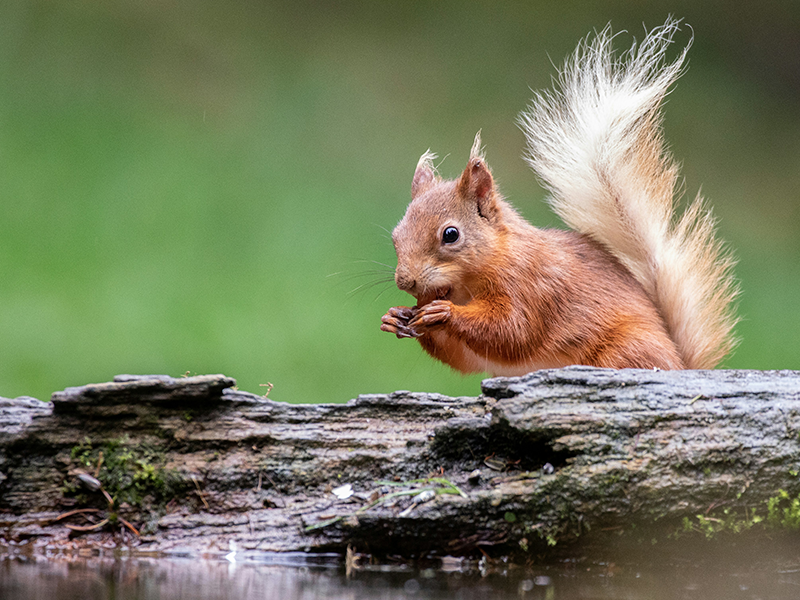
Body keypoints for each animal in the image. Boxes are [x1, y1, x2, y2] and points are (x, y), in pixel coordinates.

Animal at [379, 19, 739, 374]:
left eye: (451, 235)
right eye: (396, 236)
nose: (406, 281)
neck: (468, 281)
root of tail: (680, 366)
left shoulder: (531, 288)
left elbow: (511, 330)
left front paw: (445, 313)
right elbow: (463, 357)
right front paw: (396, 317)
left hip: (627, 350)